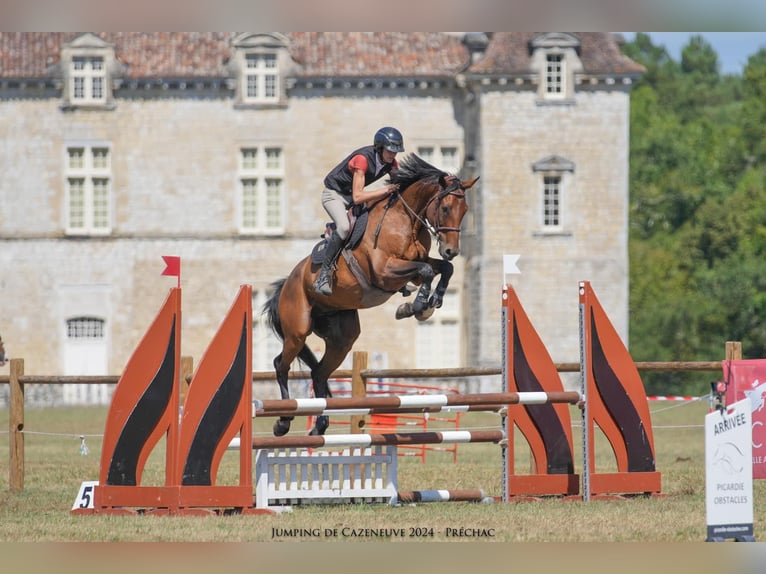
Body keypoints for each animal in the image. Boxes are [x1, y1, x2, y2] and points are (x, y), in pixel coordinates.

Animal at [264, 153, 480, 436]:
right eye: (445, 208)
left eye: (464, 210)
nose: (451, 250)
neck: (405, 220)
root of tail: (286, 284)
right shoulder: (384, 271)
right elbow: (427, 270)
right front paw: (417, 306)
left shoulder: (413, 269)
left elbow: (443, 269)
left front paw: (429, 303)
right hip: (298, 330)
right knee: (281, 364)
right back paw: (283, 422)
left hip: (342, 338)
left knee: (319, 373)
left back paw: (320, 427)